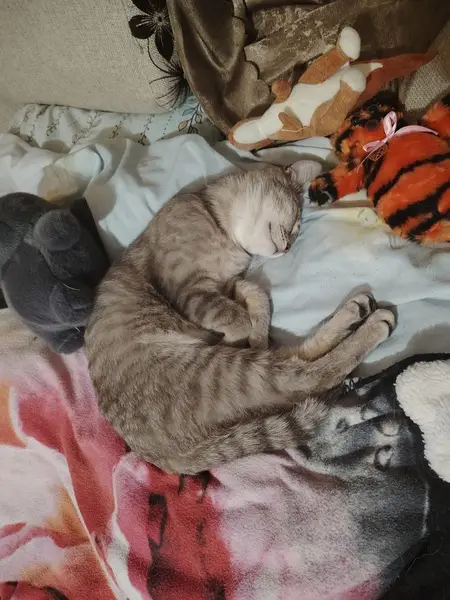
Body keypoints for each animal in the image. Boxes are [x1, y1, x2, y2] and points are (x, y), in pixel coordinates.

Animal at [86, 165, 396, 474]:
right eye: (295, 225)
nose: (288, 247)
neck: (221, 227)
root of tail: (165, 458)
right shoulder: (190, 289)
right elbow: (240, 317)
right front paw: (249, 331)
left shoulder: (227, 284)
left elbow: (257, 298)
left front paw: (258, 328)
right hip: (225, 369)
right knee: (310, 375)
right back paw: (374, 324)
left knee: (299, 362)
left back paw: (355, 312)